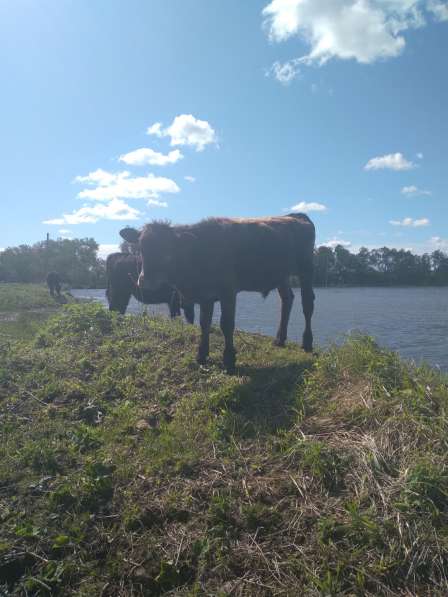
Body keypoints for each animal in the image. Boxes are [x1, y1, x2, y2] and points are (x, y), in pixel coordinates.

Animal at [119, 212, 316, 372]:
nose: (145, 281)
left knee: (307, 304)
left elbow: (226, 324)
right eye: (141, 248)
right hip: (282, 275)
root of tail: (296, 216)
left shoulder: (228, 291)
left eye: (167, 250)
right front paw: (201, 354)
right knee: (287, 299)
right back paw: (280, 339)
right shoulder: (206, 295)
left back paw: (307, 342)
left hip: (306, 268)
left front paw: (229, 359)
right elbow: (204, 323)